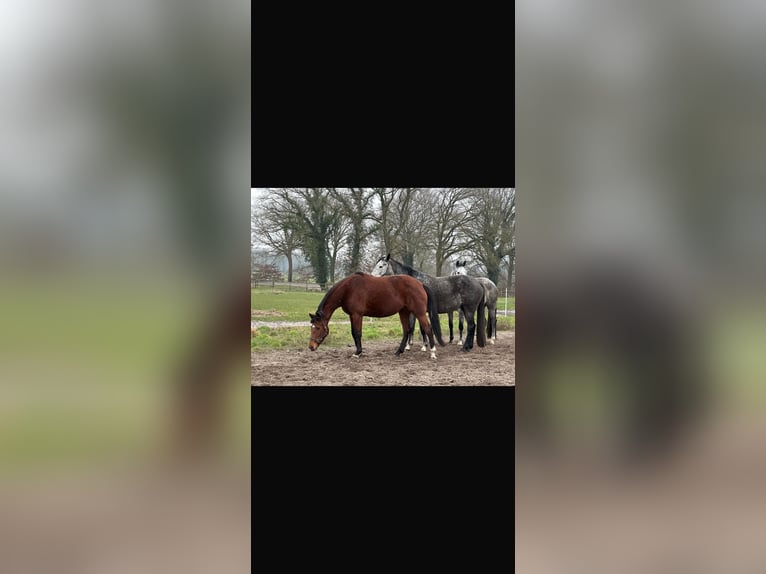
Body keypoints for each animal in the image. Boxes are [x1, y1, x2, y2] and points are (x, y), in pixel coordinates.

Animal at [308, 272, 444, 359]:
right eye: (311, 327)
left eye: (318, 328)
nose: (311, 347)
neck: (348, 289)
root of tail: (420, 284)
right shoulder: (352, 315)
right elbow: (353, 333)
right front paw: (358, 352)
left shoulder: (357, 315)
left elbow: (357, 333)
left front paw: (357, 353)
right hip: (404, 312)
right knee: (407, 330)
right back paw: (398, 352)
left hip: (419, 313)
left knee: (428, 329)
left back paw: (432, 353)